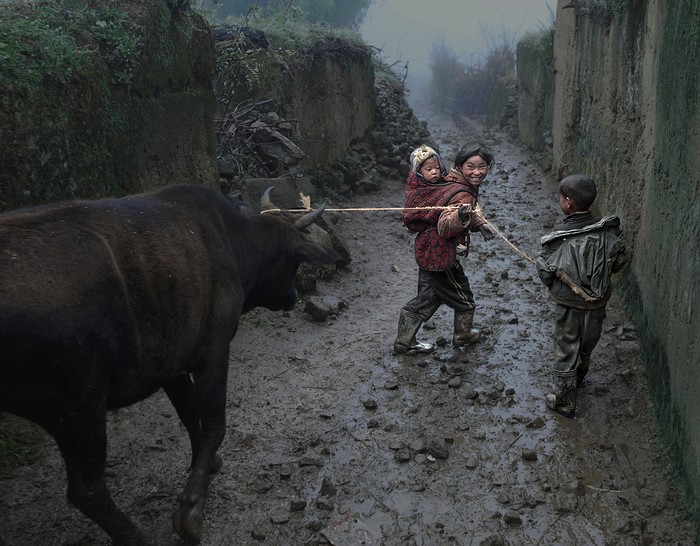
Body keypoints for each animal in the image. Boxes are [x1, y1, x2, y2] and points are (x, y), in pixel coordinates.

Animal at [0, 185, 340, 540]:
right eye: (293, 262)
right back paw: (135, 537)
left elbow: (190, 414)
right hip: (79, 403)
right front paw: (192, 506)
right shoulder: (213, 351)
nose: (292, 297)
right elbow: (214, 424)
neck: (233, 241)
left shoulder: (171, 362)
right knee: (87, 489)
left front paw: (206, 466)